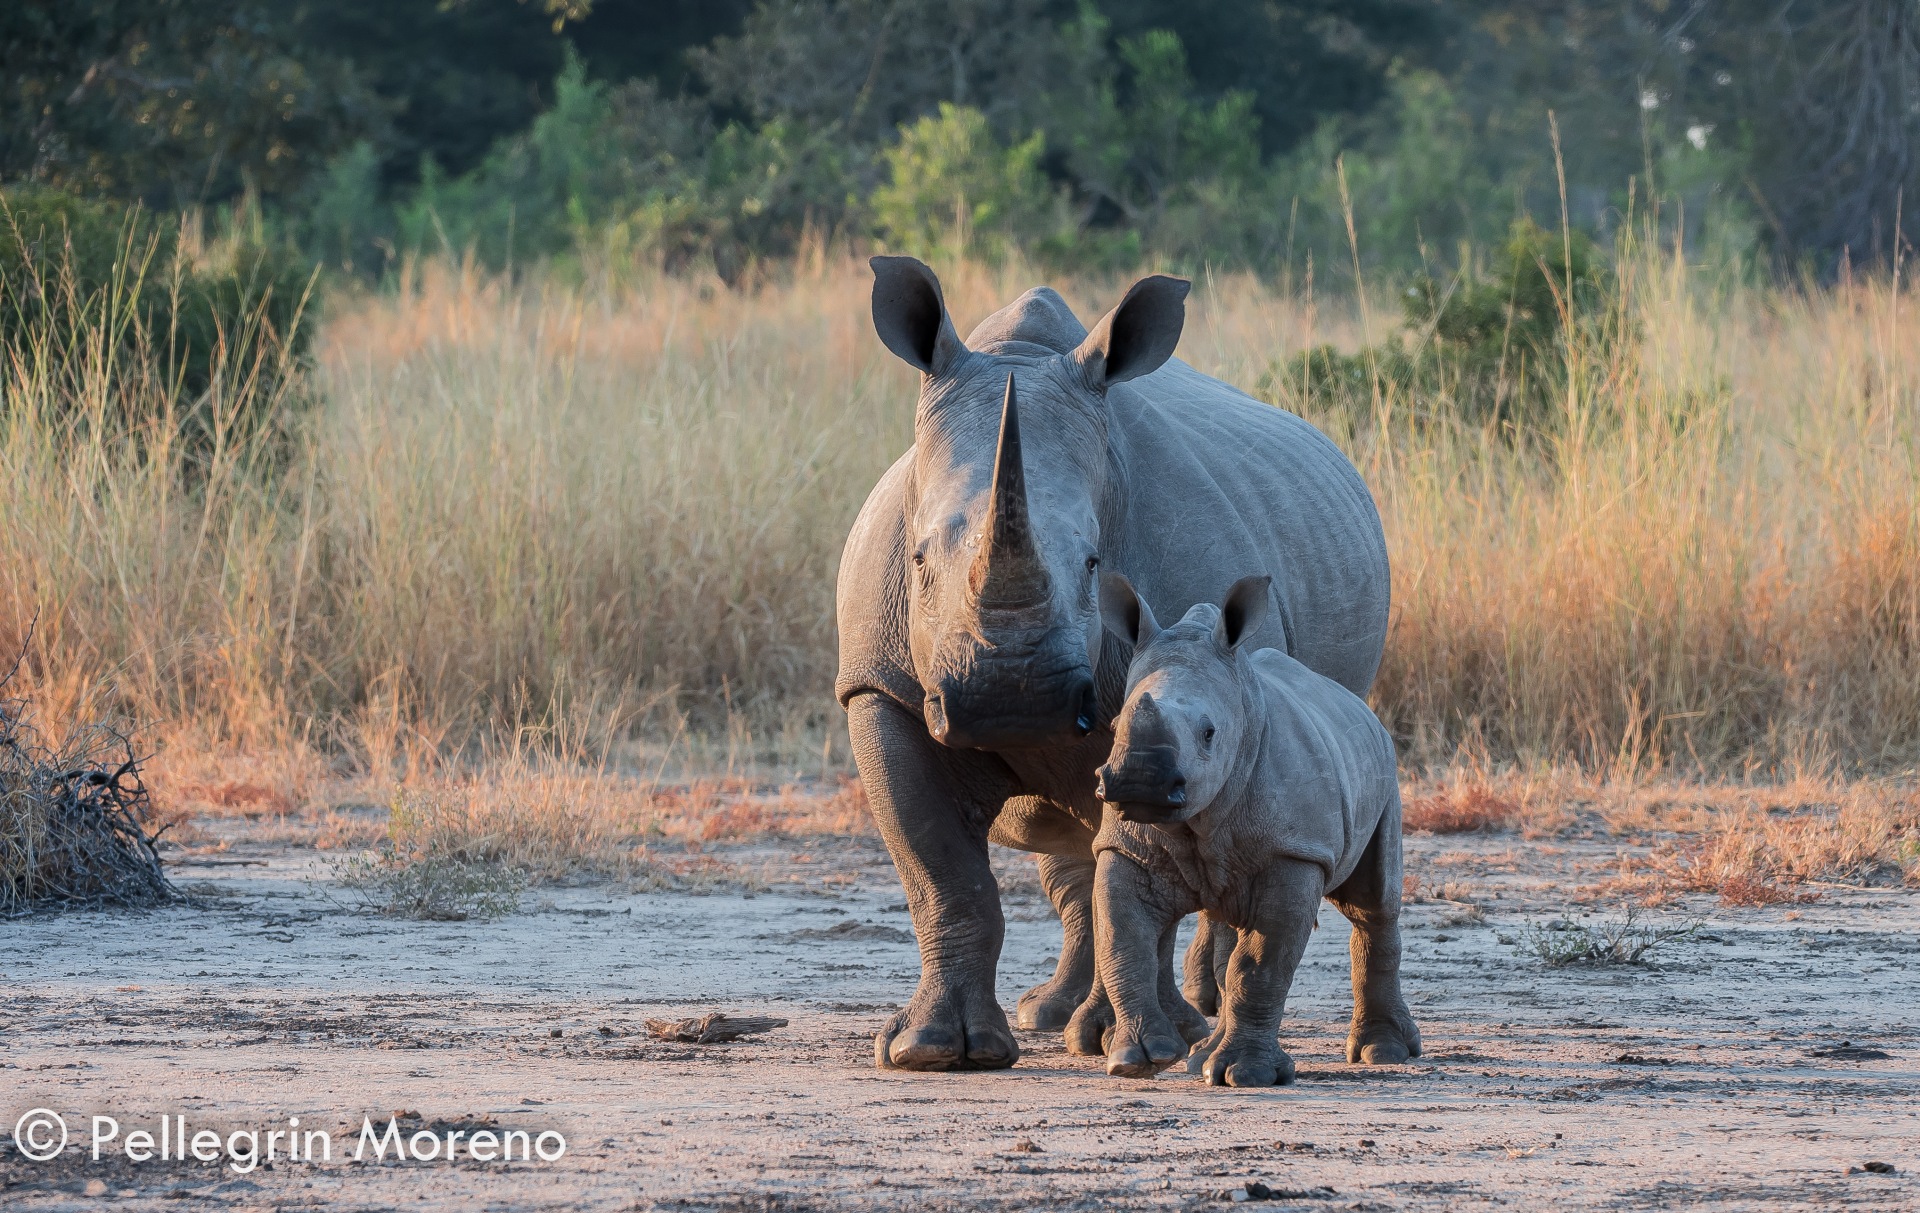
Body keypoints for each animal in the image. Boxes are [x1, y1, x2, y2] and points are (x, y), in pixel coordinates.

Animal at [837, 256, 1389, 1070]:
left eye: (1096, 562)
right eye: (919, 561)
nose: (1010, 699)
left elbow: (1133, 853)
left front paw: (1128, 1040)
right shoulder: (883, 687)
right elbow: (942, 868)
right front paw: (933, 1050)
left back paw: (1188, 1015)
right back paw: (1051, 1013)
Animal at [1078, 573, 1419, 1084]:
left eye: (1209, 733)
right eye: (1117, 724)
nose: (1141, 781)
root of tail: (1360, 707)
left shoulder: (1294, 850)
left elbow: (1261, 965)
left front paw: (1246, 1075)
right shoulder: (1124, 845)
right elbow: (1123, 941)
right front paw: (1139, 1058)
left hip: (1383, 768)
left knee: (1372, 905)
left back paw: (1385, 1053)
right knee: (1229, 929)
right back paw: (1201, 1058)